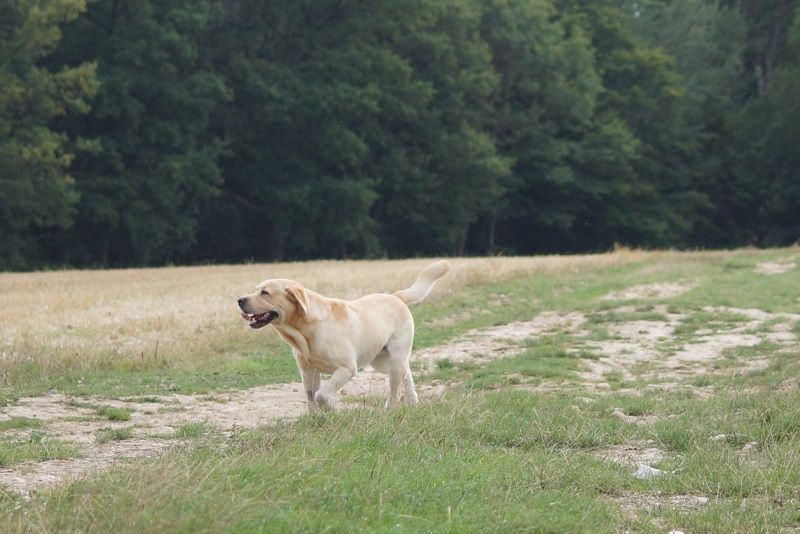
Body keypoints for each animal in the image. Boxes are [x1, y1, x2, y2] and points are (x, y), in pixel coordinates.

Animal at [236, 262, 450, 414]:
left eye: (265, 292)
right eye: (256, 289)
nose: (239, 300)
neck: (305, 329)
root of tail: (395, 297)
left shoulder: (346, 368)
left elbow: (321, 395)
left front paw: (331, 409)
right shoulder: (308, 371)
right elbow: (310, 396)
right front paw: (315, 419)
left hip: (395, 357)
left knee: (395, 386)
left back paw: (389, 409)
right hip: (381, 361)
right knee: (407, 372)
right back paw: (413, 401)